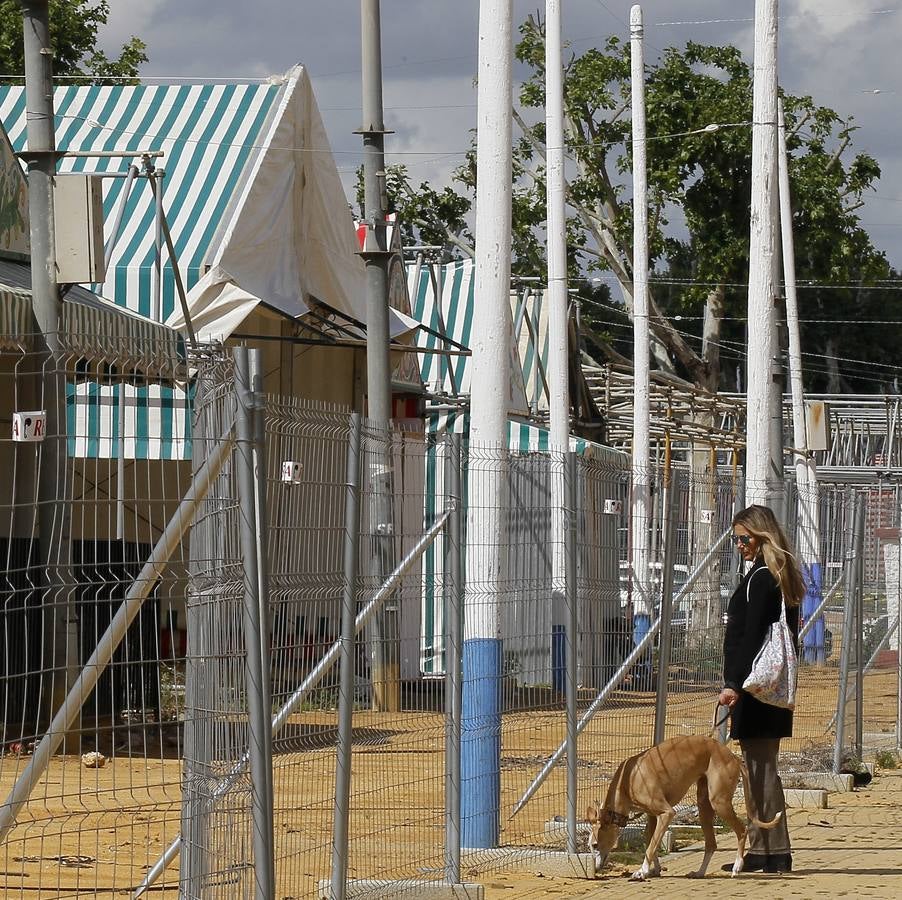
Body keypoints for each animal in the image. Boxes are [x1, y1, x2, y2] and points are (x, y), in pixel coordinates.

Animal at [588, 732, 780, 880]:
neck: (628, 779)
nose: (595, 870)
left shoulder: (667, 813)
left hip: (719, 802)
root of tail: (732, 756)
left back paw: (737, 867)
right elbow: (651, 840)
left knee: (742, 830)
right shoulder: (652, 815)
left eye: (595, 845)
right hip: (704, 805)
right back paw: (700, 873)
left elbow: (650, 847)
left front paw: (642, 872)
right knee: (711, 844)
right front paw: (654, 870)